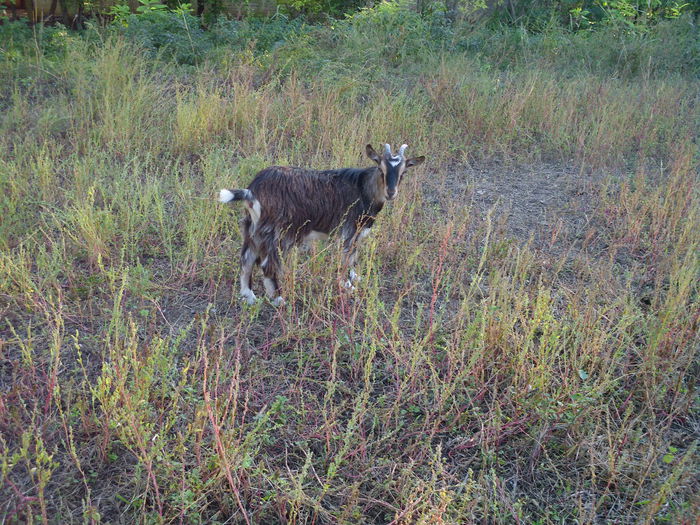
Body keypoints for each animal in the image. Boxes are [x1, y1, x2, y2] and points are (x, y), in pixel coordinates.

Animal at [221, 145, 424, 304]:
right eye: (381, 169)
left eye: (404, 172)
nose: (391, 192)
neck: (363, 189)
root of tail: (251, 191)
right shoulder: (348, 230)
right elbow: (345, 257)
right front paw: (346, 285)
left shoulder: (357, 233)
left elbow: (353, 256)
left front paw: (355, 277)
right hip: (278, 232)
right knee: (266, 264)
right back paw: (278, 298)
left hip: (252, 228)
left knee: (246, 259)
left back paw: (248, 296)